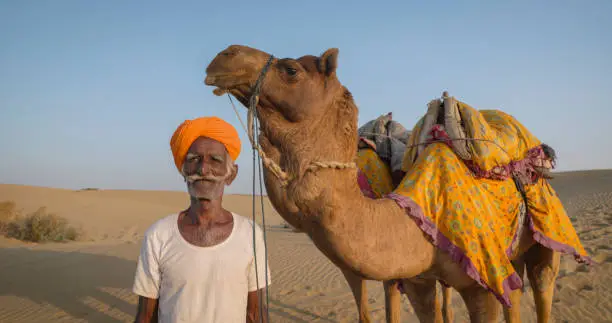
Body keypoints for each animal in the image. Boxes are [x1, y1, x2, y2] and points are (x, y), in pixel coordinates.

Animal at [203, 45, 584, 323]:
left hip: (547, 232)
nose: (225, 54)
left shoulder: (482, 280)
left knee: (540, 286)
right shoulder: (416, 279)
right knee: (513, 295)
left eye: (291, 69)